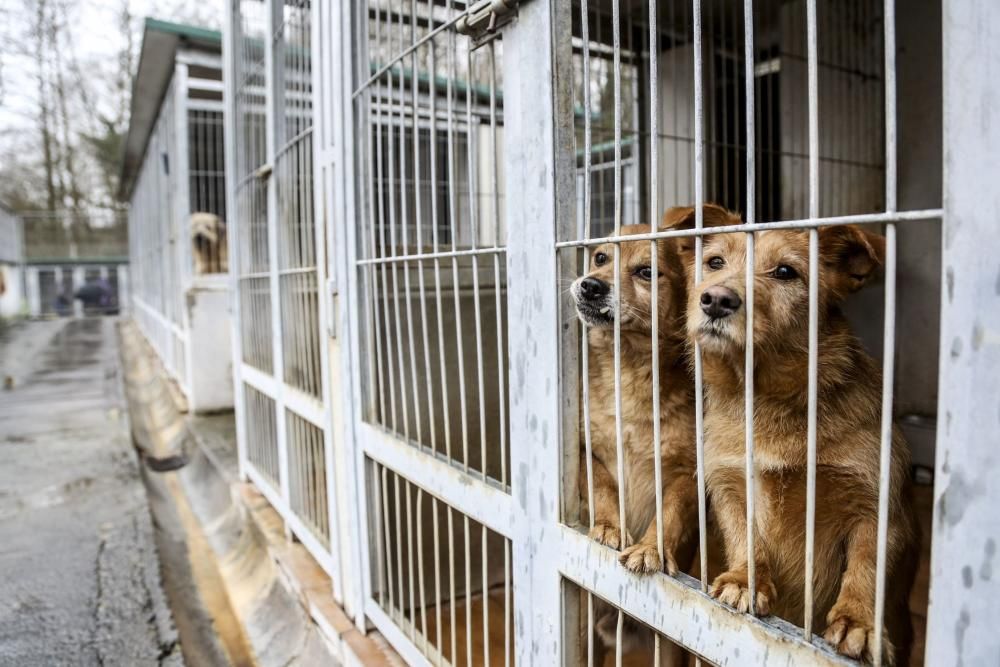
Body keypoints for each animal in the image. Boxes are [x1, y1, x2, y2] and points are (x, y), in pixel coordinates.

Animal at [668, 206, 916, 664]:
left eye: (786, 272)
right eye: (714, 262)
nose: (716, 300)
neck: (767, 399)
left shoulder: (877, 504)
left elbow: (865, 564)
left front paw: (858, 622)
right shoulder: (729, 485)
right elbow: (745, 536)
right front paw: (745, 581)